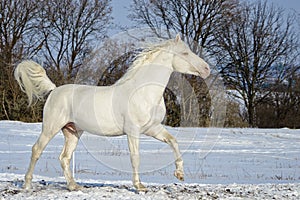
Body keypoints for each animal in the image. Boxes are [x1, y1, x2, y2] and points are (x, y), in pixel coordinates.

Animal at [14, 34, 211, 191]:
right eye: (184, 53)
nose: (207, 69)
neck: (144, 92)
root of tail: (54, 90)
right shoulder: (133, 131)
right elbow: (135, 157)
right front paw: (139, 186)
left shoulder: (152, 128)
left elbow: (173, 142)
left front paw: (179, 174)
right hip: (50, 127)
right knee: (37, 150)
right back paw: (27, 185)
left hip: (72, 132)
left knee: (64, 157)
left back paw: (74, 186)